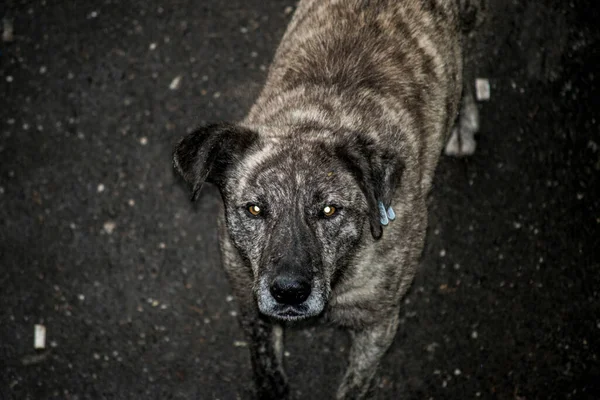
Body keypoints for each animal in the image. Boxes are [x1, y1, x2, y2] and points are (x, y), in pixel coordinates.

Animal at [172, 1, 482, 398]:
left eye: (329, 210)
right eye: (255, 209)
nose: (289, 292)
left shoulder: (378, 323)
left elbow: (355, 384)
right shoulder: (250, 308)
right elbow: (266, 368)